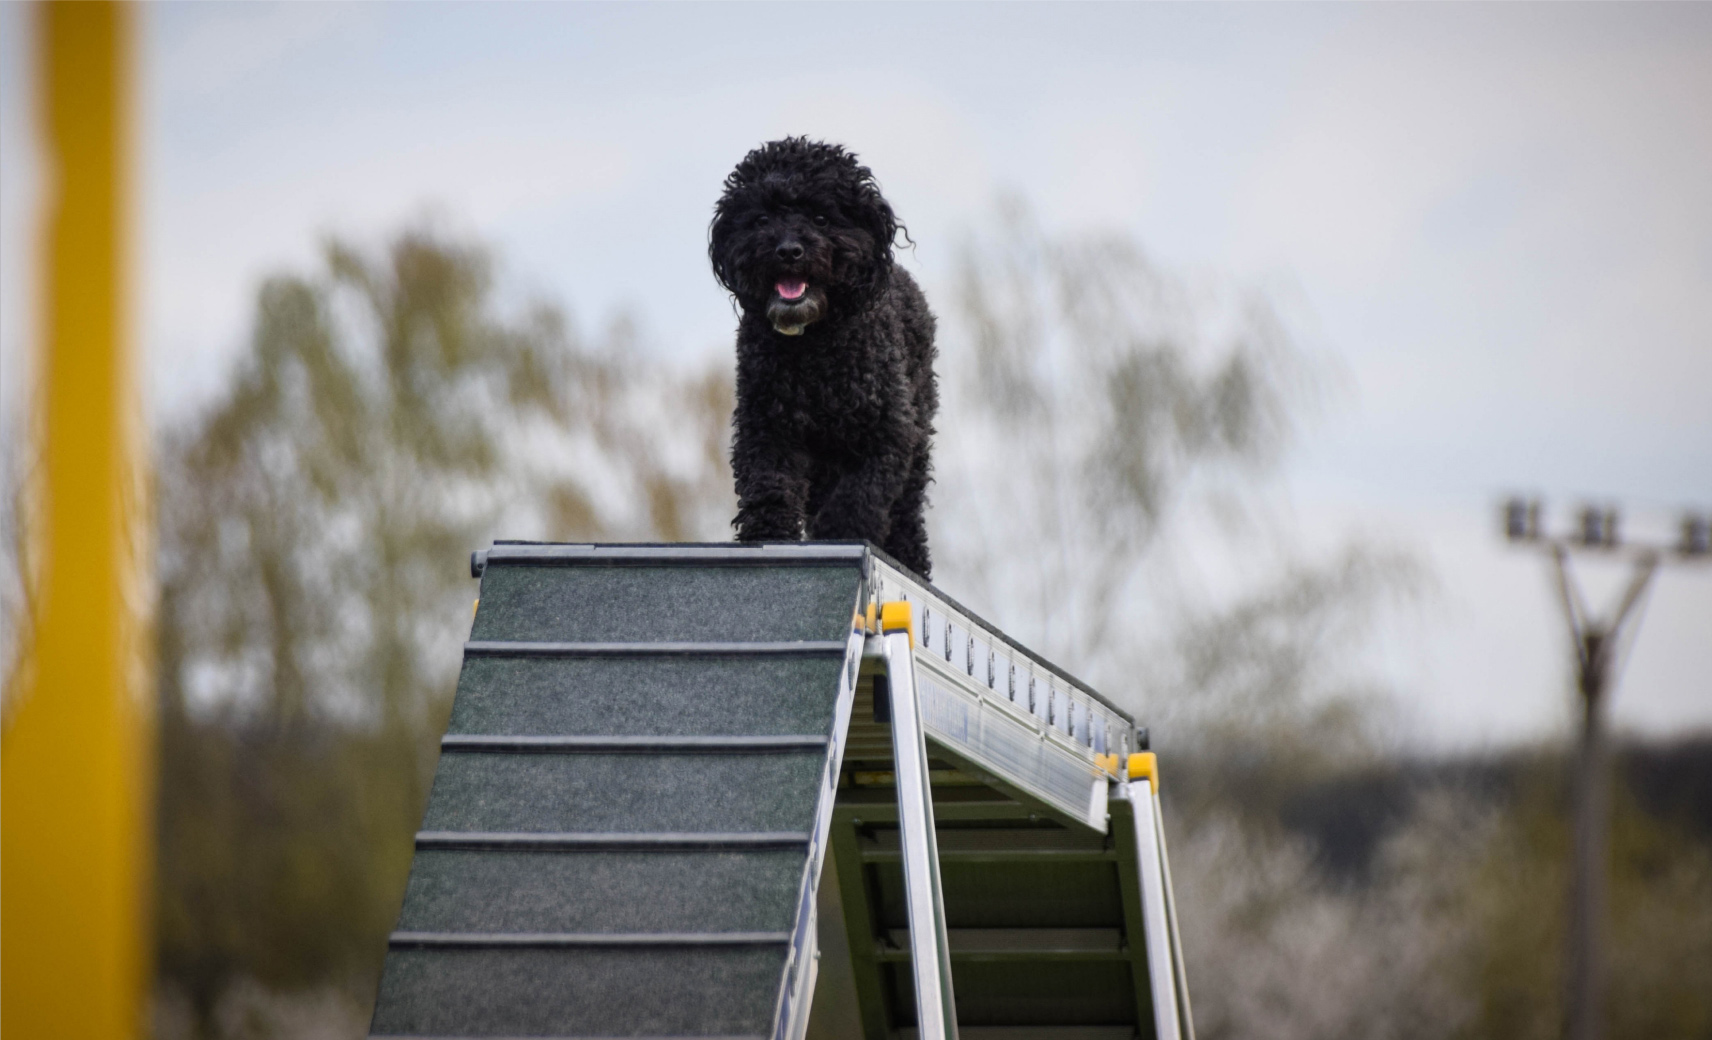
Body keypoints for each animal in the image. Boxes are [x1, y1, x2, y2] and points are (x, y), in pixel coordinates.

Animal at [705, 137, 938, 579]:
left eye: (821, 217)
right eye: (761, 218)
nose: (788, 250)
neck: (814, 350)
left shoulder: (886, 436)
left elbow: (859, 500)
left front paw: (840, 534)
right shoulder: (767, 426)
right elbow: (770, 486)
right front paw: (769, 536)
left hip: (916, 437)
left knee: (906, 510)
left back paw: (911, 559)